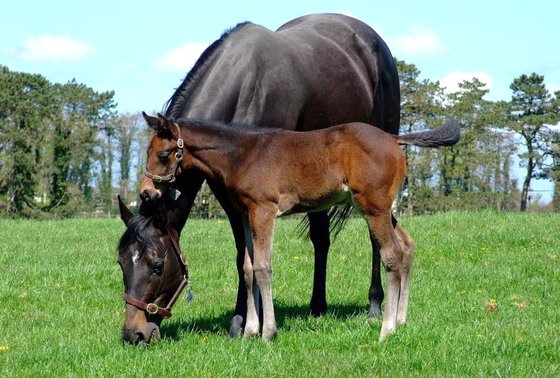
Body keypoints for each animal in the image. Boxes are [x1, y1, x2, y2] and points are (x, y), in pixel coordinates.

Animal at [127, 12, 398, 342]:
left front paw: (241, 321)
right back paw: (317, 307)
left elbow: (248, 258)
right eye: (121, 261)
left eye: (157, 266)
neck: (243, 86)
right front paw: (250, 321)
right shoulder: (233, 194)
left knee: (377, 238)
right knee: (321, 239)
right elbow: (247, 258)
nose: (133, 334)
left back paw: (374, 305)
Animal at [142, 111, 462, 340]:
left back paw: (387, 329)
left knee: (392, 254)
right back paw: (402, 319)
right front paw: (249, 332)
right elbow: (247, 268)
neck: (242, 154)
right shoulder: (246, 214)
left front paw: (268, 332)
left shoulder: (264, 210)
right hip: (378, 207)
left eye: (163, 155)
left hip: (373, 206)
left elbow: (263, 268)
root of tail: (395, 139)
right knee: (406, 245)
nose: (146, 192)